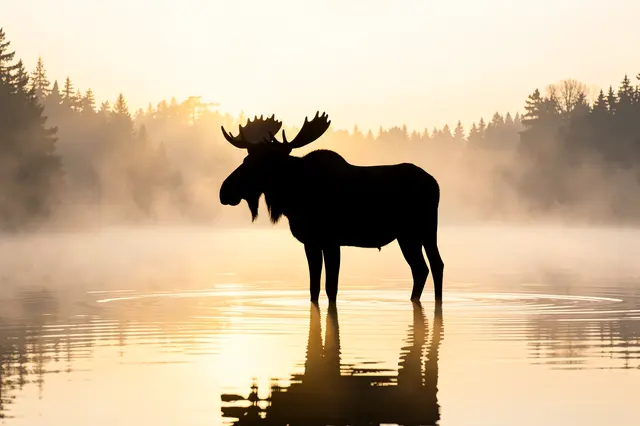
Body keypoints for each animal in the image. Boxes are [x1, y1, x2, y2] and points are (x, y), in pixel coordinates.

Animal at [219, 112, 444, 303]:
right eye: (246, 158)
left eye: (263, 163)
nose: (224, 192)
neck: (293, 197)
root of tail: (435, 183)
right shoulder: (310, 242)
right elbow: (314, 288)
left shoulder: (331, 241)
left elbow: (331, 288)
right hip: (408, 236)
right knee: (422, 269)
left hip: (423, 230)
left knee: (435, 265)